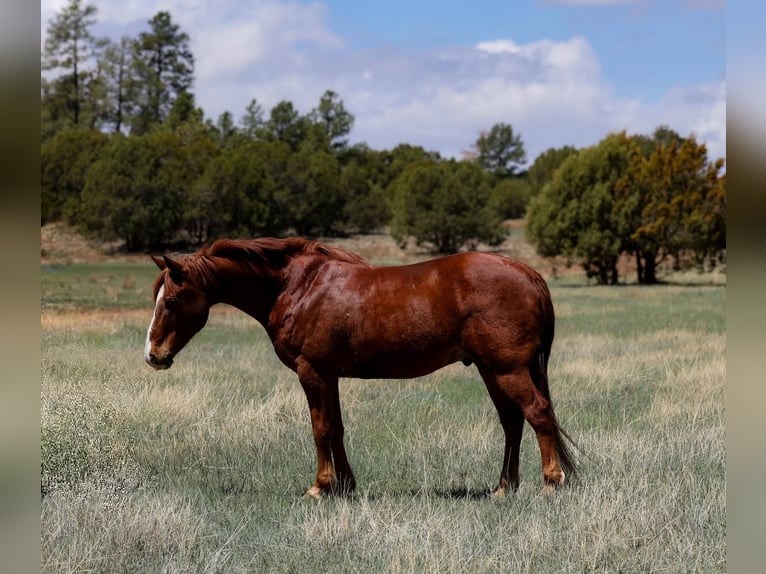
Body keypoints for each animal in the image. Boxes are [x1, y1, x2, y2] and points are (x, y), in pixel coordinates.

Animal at [144, 237, 577, 498]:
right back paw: (504, 487)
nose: (153, 355)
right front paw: (346, 486)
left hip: (507, 369)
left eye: (171, 301)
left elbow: (320, 429)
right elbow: (335, 429)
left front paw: (320, 488)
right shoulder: (329, 375)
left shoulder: (313, 372)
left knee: (538, 414)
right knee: (513, 422)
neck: (297, 286)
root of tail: (528, 273)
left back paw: (551, 483)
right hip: (491, 370)